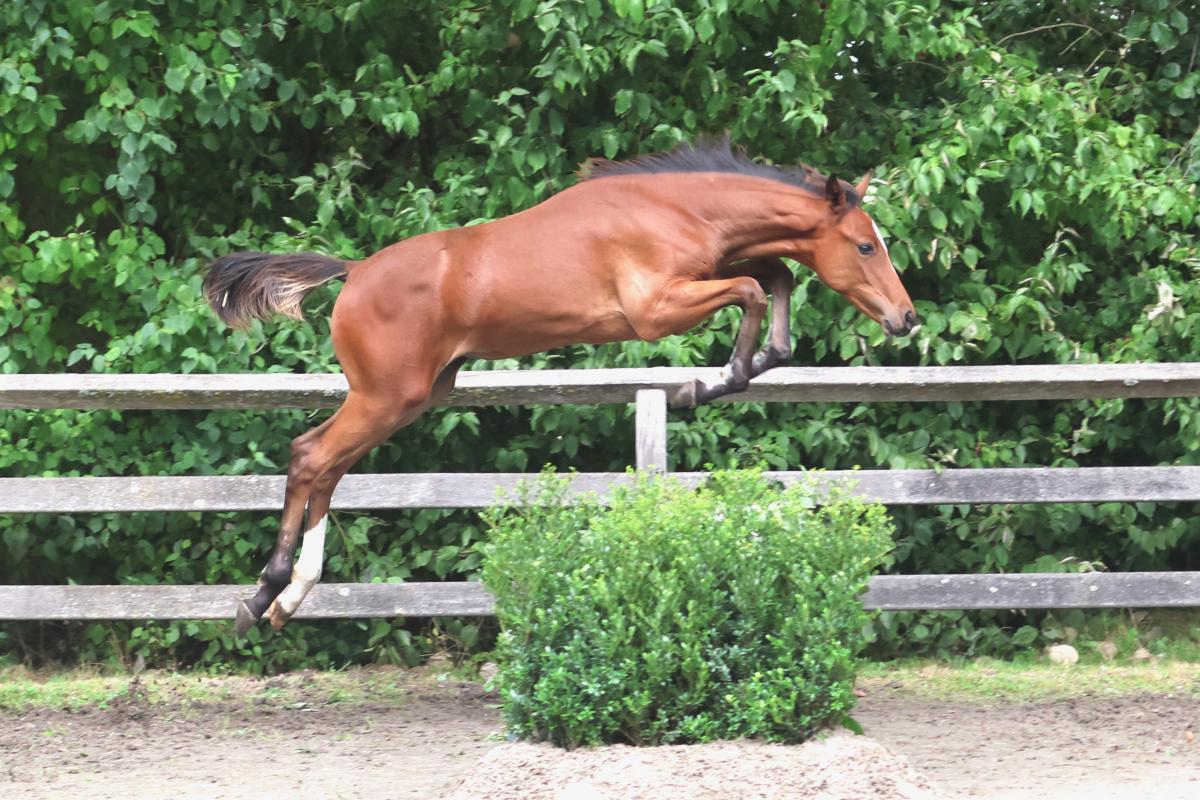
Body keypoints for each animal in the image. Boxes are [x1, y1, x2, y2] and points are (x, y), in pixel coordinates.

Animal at [203, 138, 918, 635]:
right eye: (864, 246)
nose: (906, 318)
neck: (676, 208)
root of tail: (353, 272)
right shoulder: (655, 310)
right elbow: (751, 288)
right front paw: (713, 382)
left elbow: (774, 279)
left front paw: (737, 371)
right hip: (387, 397)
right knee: (311, 457)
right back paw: (262, 597)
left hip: (413, 398)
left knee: (327, 468)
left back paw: (289, 600)